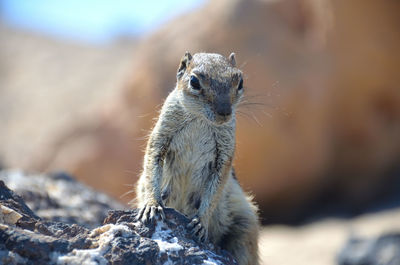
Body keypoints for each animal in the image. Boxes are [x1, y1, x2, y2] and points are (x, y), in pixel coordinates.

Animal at [134, 51, 260, 264]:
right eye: (194, 81)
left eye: (240, 81)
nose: (224, 112)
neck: (200, 119)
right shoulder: (162, 135)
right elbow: (152, 164)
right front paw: (151, 205)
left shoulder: (225, 154)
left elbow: (215, 189)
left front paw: (200, 222)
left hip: (245, 225)